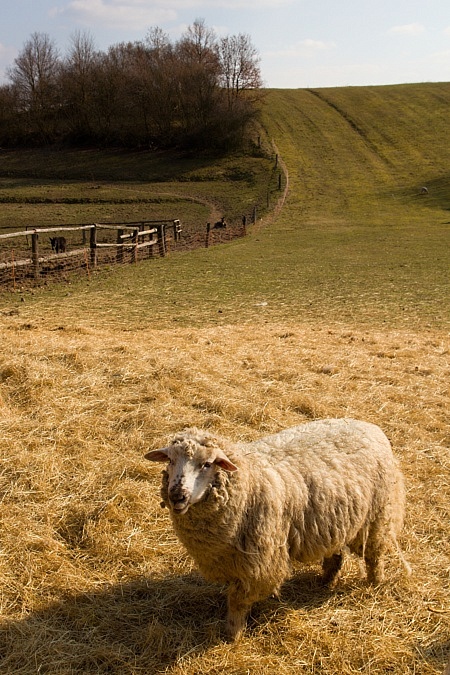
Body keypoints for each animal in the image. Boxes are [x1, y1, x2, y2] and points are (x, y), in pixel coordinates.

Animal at [146, 420, 410, 640]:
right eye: (170, 460)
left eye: (207, 464)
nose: (177, 496)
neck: (248, 482)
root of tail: (370, 426)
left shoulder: (258, 564)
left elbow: (237, 601)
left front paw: (232, 635)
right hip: (334, 520)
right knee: (335, 555)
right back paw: (325, 581)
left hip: (379, 516)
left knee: (374, 555)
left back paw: (375, 583)